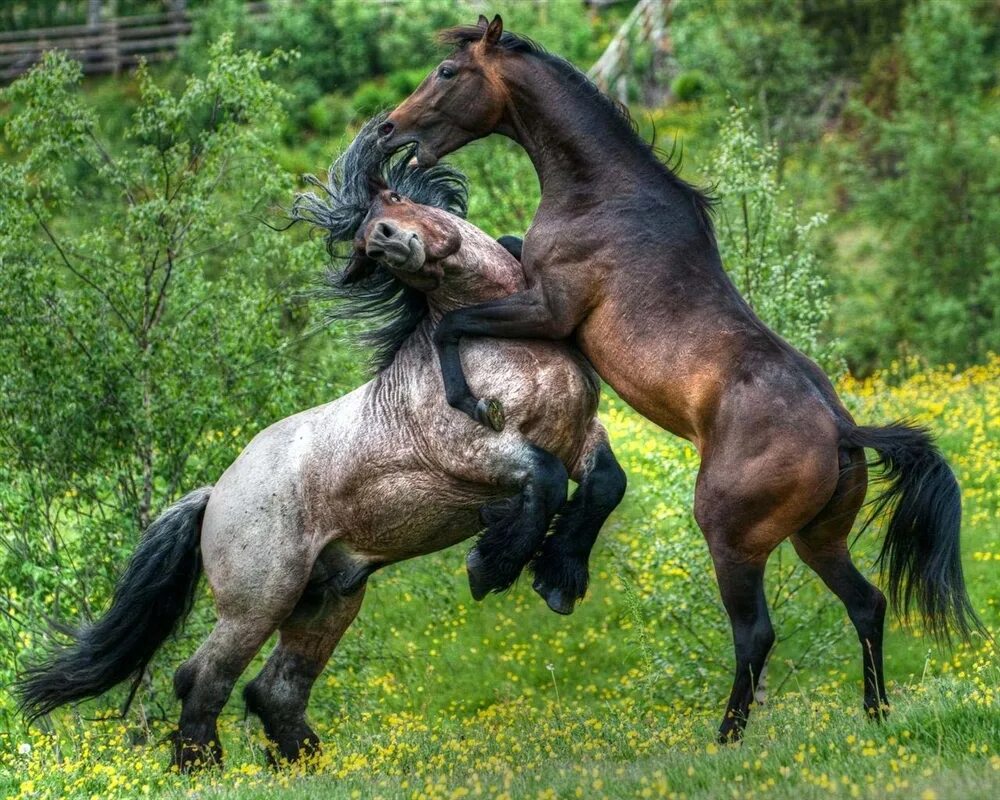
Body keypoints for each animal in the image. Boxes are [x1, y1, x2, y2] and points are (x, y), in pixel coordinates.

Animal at [378, 14, 980, 744]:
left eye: (446, 72)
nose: (387, 129)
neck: (602, 194)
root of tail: (843, 431)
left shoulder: (549, 311)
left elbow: (454, 326)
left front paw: (469, 402)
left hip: (732, 539)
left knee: (756, 633)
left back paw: (726, 740)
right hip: (819, 538)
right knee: (867, 604)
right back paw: (875, 715)